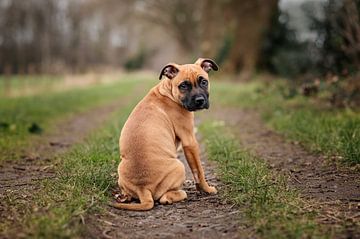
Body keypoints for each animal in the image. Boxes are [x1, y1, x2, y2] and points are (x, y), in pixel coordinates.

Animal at [112, 58, 218, 211]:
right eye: (183, 86)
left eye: (204, 82)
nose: (200, 101)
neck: (168, 92)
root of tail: (142, 189)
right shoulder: (190, 141)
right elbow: (198, 170)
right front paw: (207, 189)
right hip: (179, 166)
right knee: (164, 197)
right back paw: (178, 194)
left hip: (121, 170)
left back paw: (124, 197)